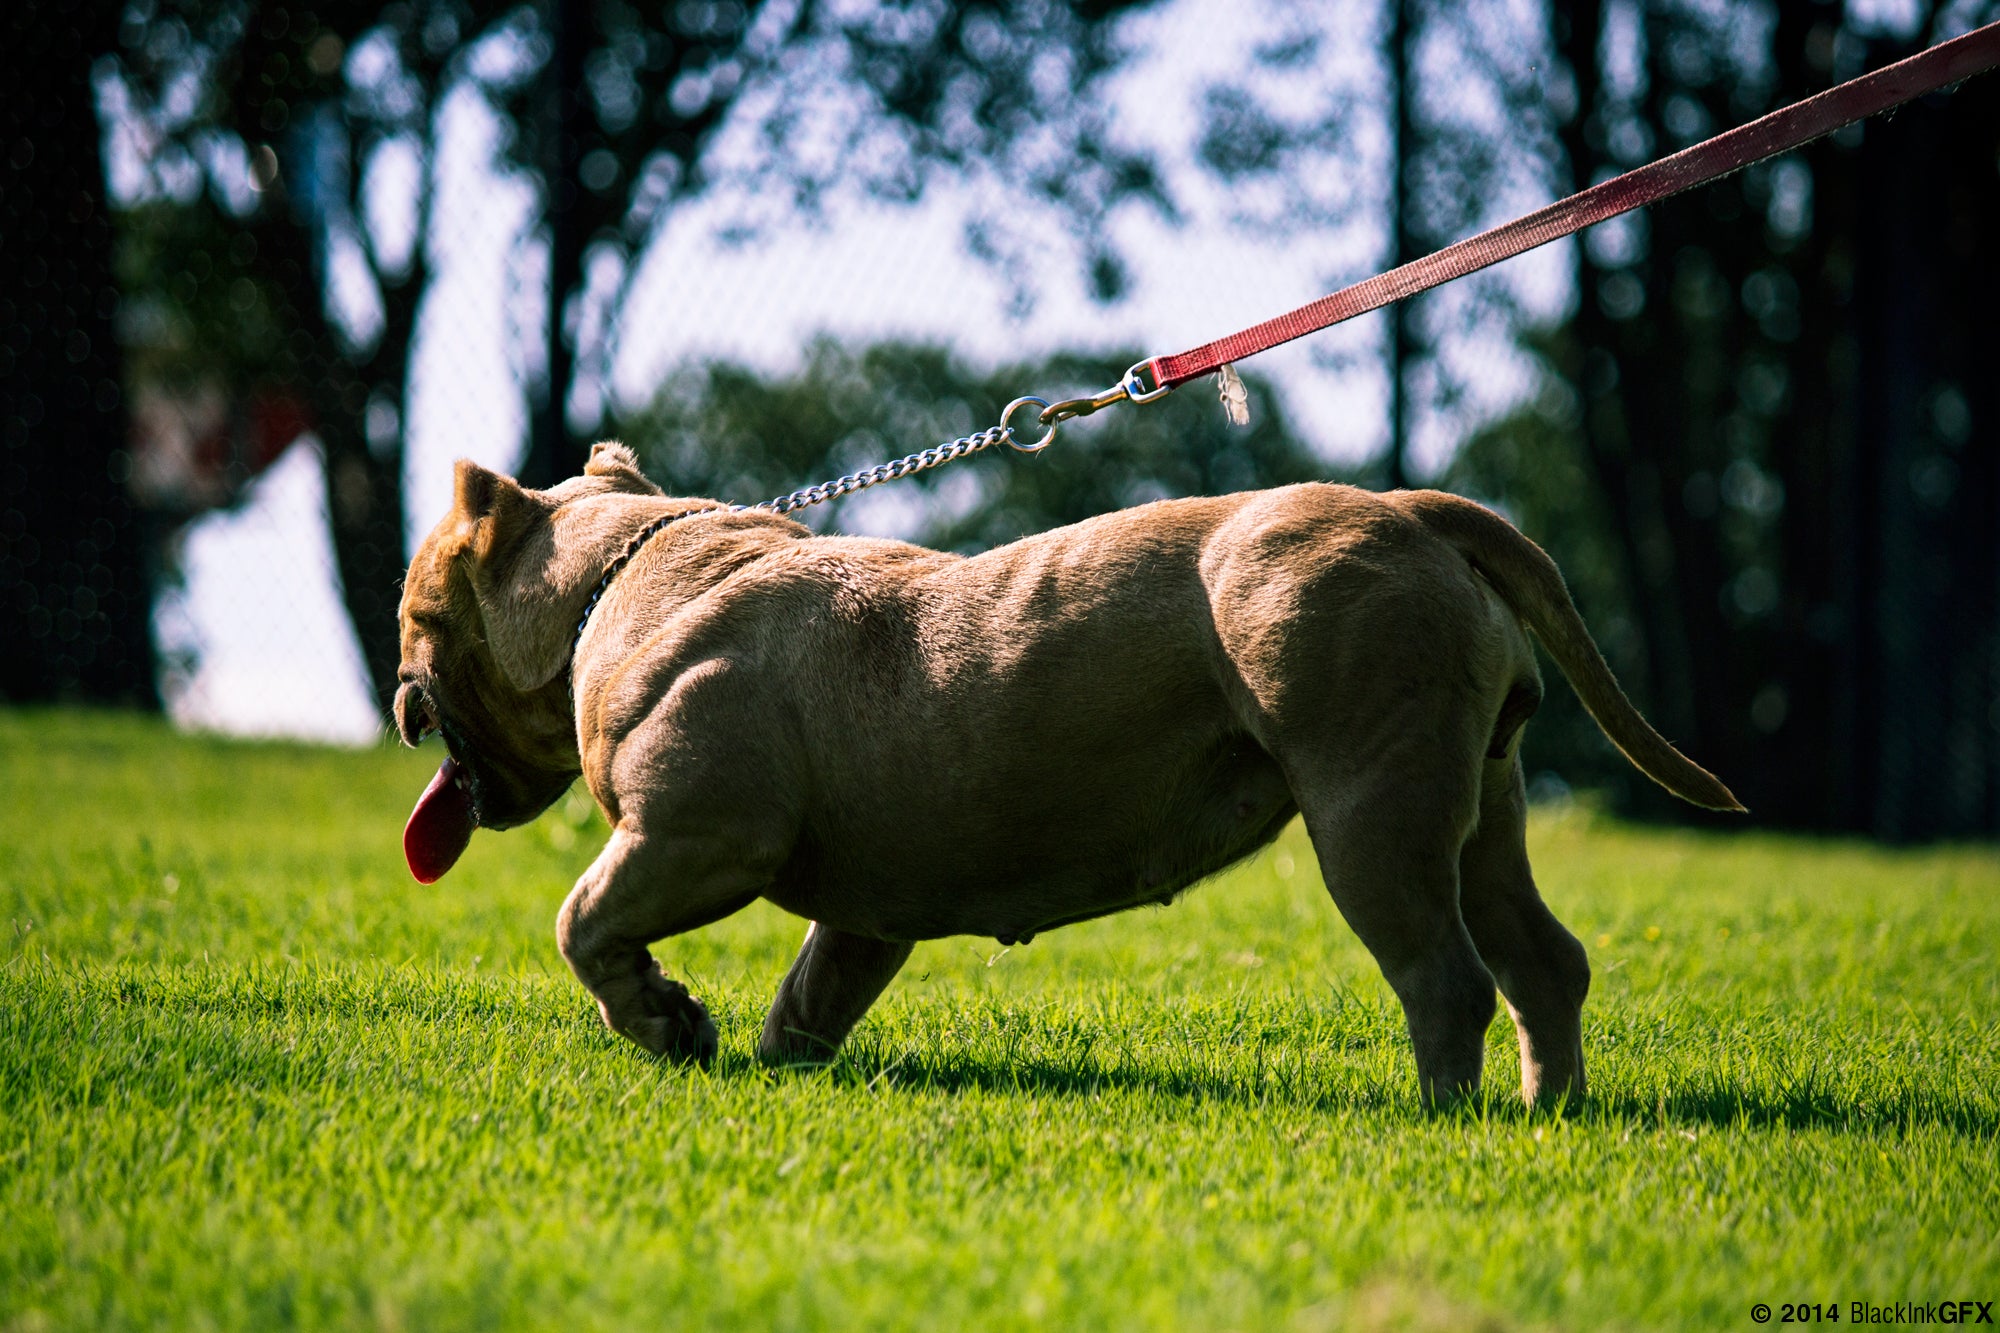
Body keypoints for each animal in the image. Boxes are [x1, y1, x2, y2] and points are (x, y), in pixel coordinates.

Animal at [390, 444, 1736, 1096]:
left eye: (411, 611)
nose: (396, 698)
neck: (613, 574)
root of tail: (1409, 511)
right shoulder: (864, 915)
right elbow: (808, 998)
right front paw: (774, 1070)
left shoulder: (690, 838)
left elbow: (582, 922)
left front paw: (659, 1019)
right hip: (1479, 819)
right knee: (1540, 963)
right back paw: (1547, 1112)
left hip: (1373, 817)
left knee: (1445, 981)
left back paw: (1442, 1122)